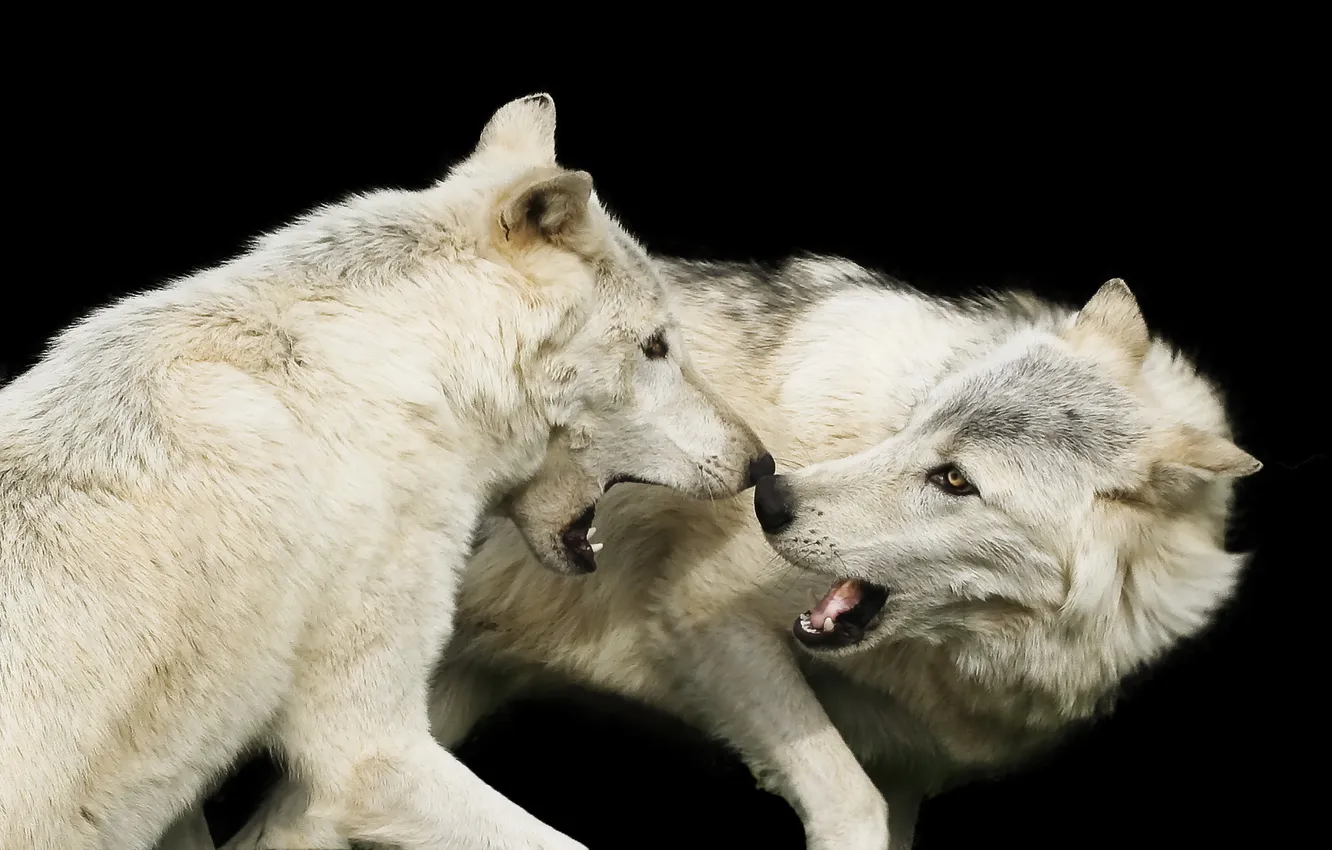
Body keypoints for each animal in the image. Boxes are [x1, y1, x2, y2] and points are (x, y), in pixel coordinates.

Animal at [225, 257, 1259, 850]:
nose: (769, 494)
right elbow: (846, 808)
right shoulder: (707, 630)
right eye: (916, 430)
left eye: (955, 479)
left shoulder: (910, 778)